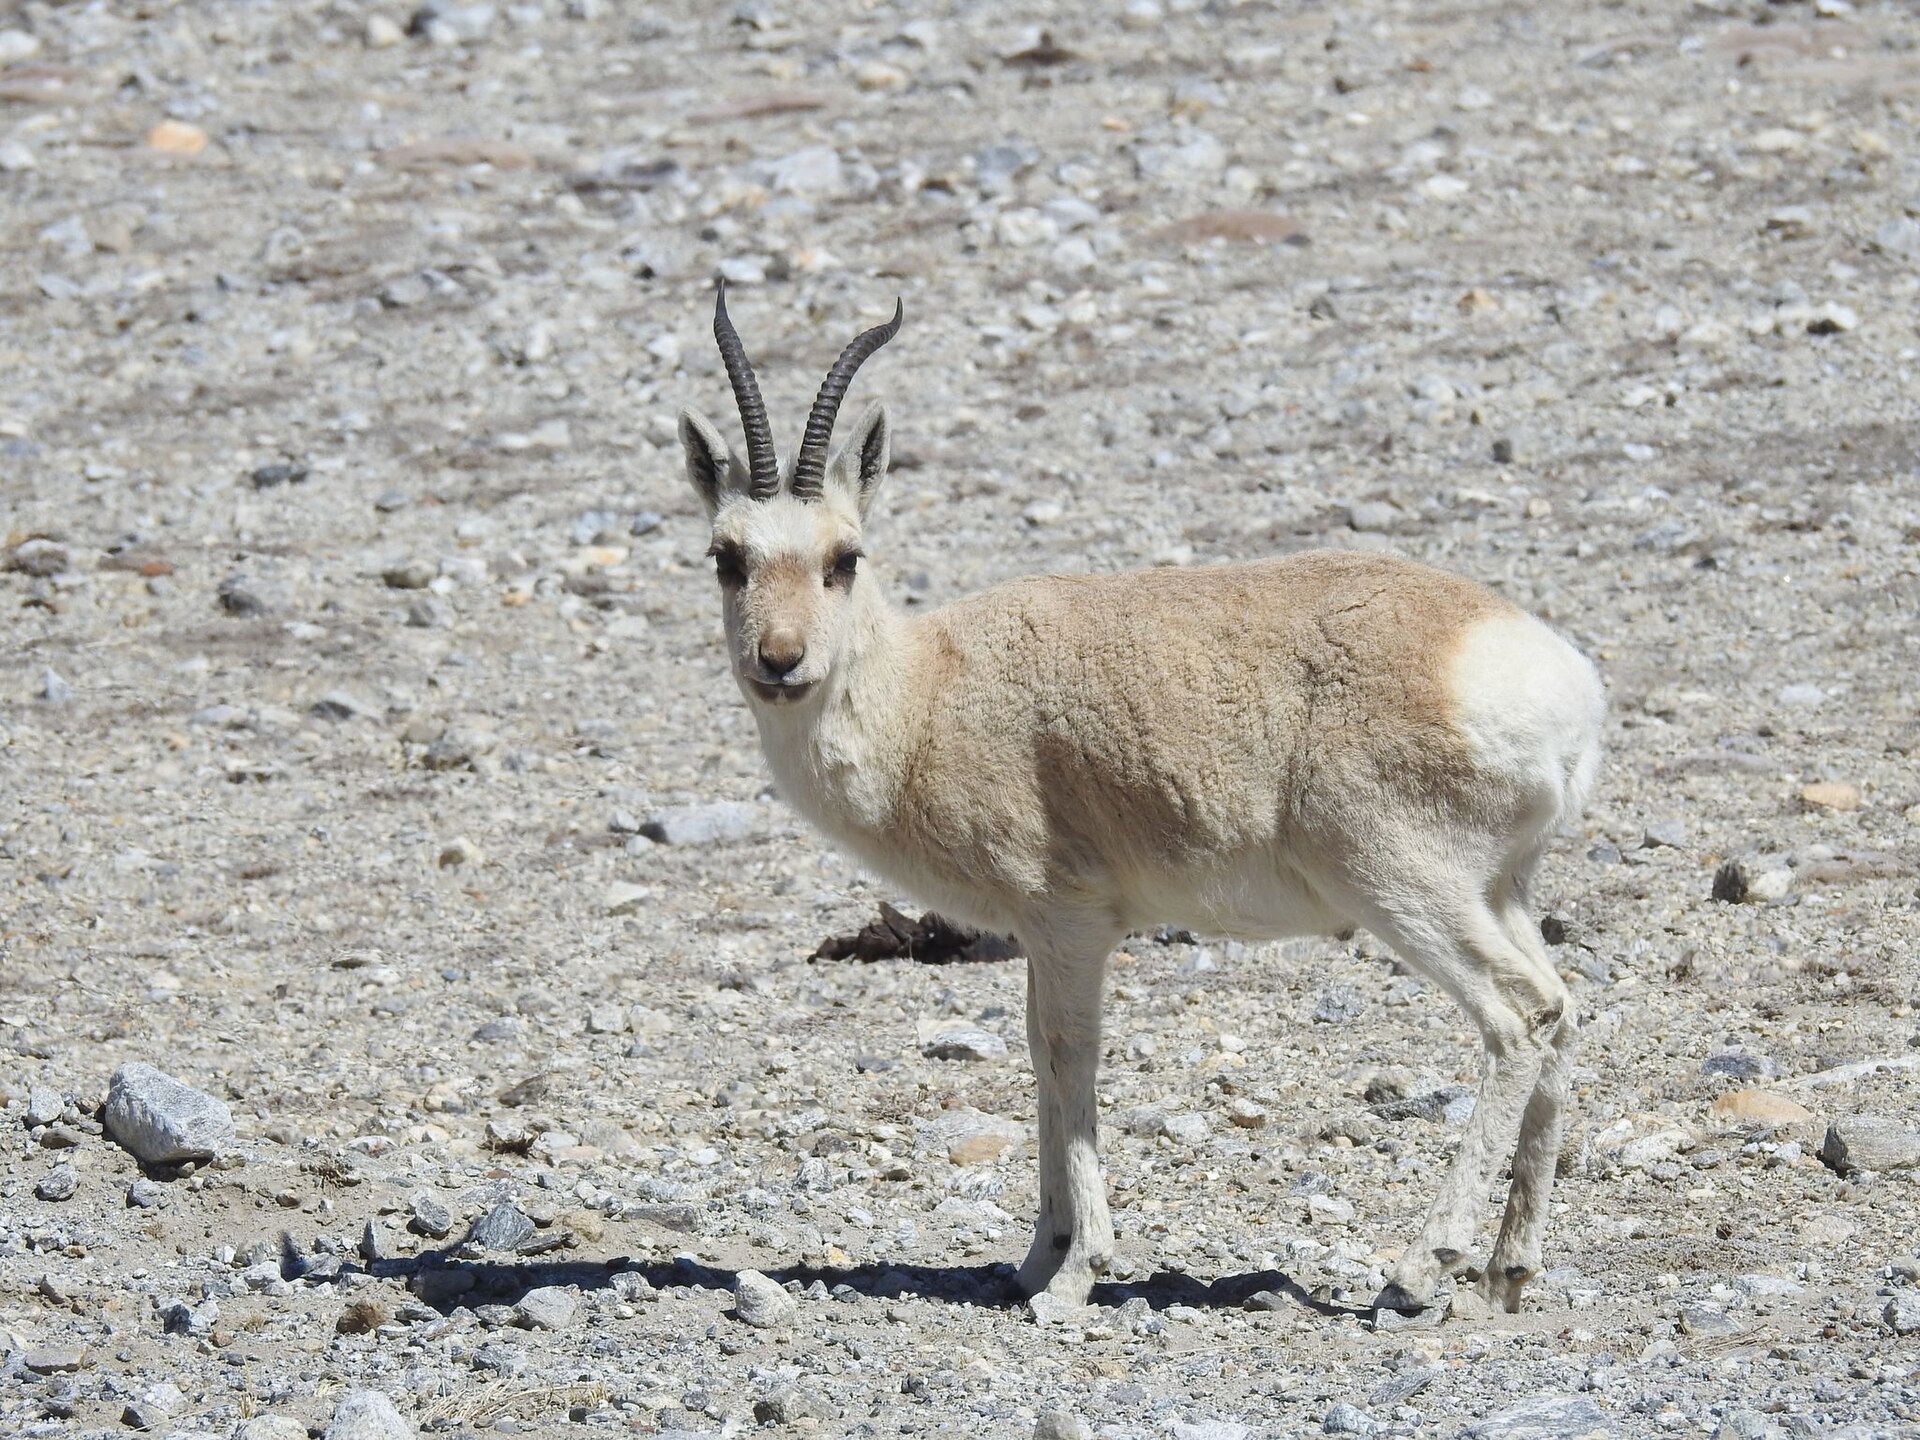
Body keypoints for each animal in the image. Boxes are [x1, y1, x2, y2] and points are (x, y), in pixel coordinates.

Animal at [677, 285, 1606, 1315]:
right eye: (725, 556)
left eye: (845, 555)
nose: (781, 661)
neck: (929, 691)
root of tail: (1555, 681)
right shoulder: (1041, 936)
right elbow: (1037, 1057)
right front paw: (1035, 1258)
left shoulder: (1071, 920)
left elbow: (1069, 1055)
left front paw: (1077, 1272)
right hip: (1499, 890)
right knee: (1564, 1009)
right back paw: (1506, 1274)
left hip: (1400, 886)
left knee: (1518, 1018)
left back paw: (1418, 1265)